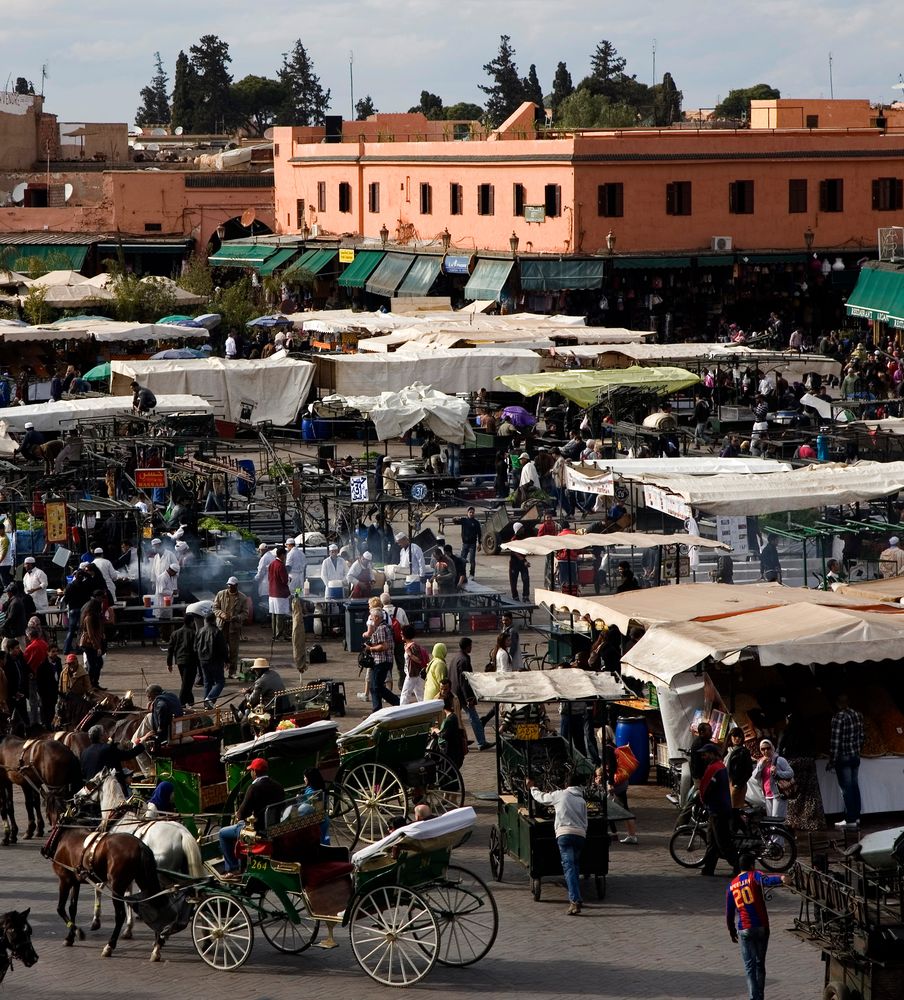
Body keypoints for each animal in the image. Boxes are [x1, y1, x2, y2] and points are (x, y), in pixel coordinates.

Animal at [42, 824, 178, 956]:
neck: (64, 834)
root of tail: (140, 845)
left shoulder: (64, 880)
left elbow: (60, 908)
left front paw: (78, 932)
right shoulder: (75, 882)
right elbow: (72, 909)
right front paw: (70, 937)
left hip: (117, 885)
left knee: (120, 915)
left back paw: (110, 945)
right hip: (144, 880)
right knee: (157, 905)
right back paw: (157, 945)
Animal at [73, 772, 204, 936]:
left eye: (90, 782)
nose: (75, 796)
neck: (119, 820)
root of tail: (182, 833)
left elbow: (100, 888)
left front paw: (96, 921)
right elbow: (128, 895)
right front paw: (129, 926)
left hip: (163, 875)